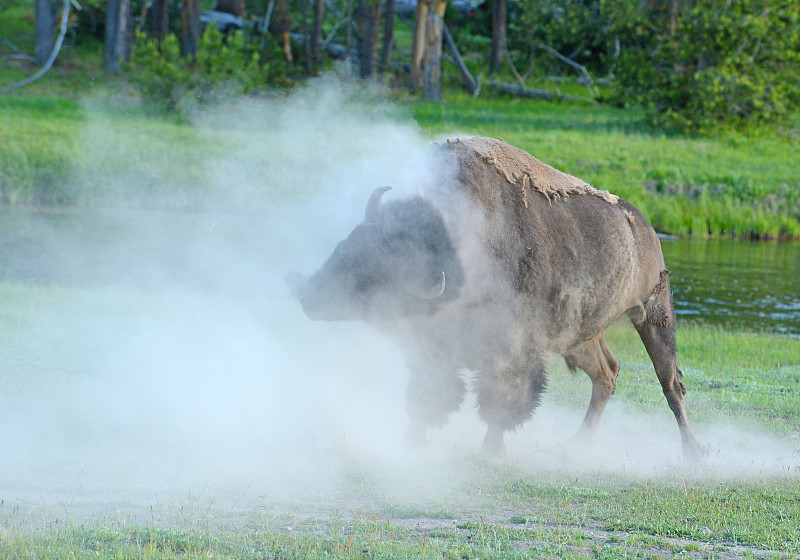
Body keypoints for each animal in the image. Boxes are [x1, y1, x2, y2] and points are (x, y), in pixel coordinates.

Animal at [292, 136, 700, 460]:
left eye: (377, 270)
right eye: (348, 243)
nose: (307, 293)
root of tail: (645, 228)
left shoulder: (512, 348)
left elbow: (500, 399)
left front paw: (492, 450)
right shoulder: (431, 347)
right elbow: (427, 393)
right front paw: (412, 442)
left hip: (654, 314)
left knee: (671, 383)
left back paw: (692, 452)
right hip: (581, 337)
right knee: (607, 373)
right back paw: (578, 443)